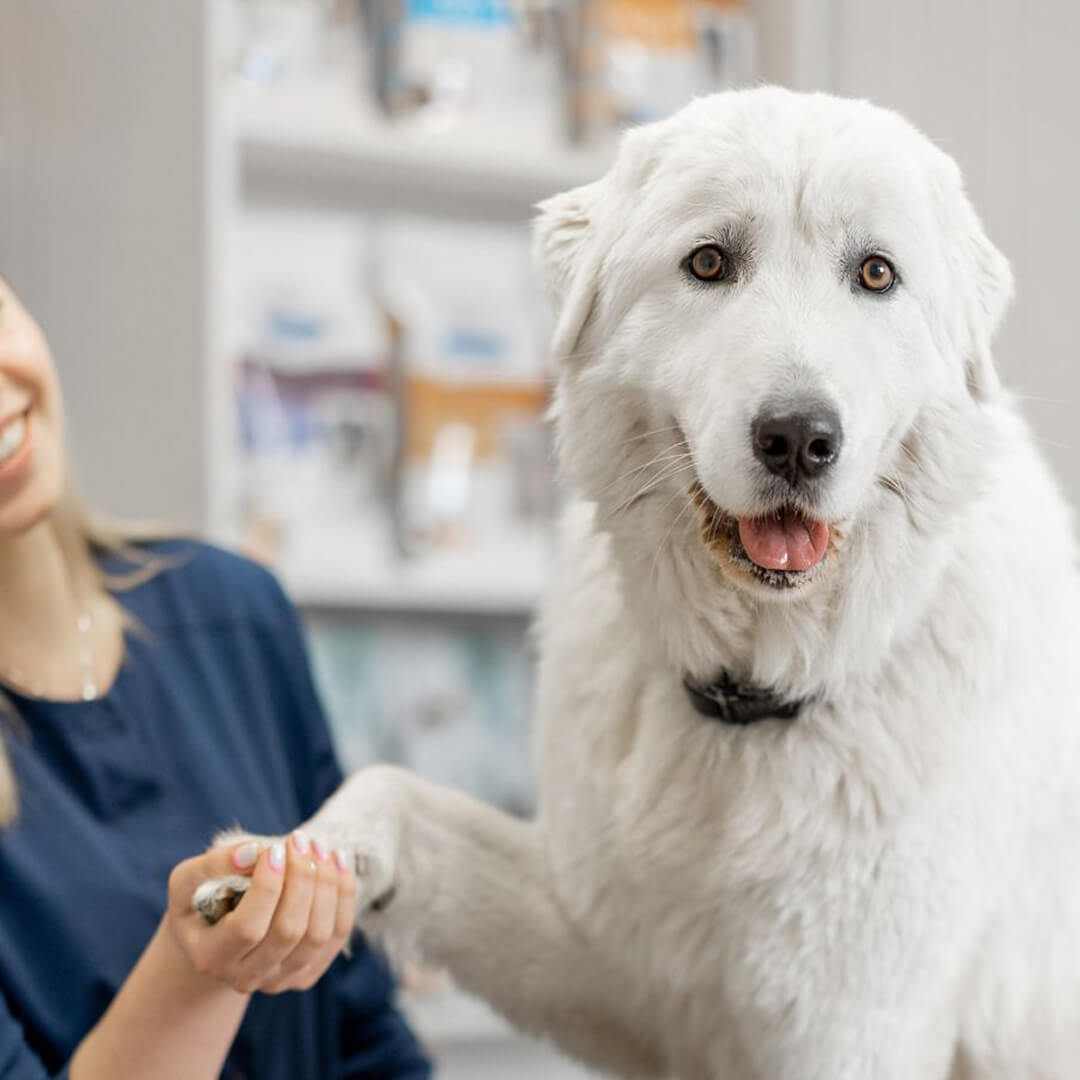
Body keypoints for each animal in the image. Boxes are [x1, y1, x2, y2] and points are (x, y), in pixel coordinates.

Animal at [196, 88, 1080, 1075]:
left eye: (876, 274)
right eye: (709, 263)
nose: (799, 439)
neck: (753, 698)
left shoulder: (849, 1029)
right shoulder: (609, 961)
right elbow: (398, 789)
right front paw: (296, 858)